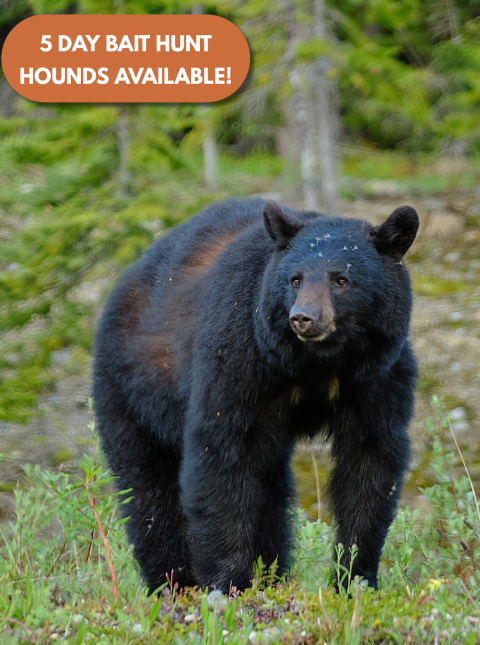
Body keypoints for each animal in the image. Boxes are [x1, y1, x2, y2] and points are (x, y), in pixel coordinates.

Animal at [93, 197, 419, 594]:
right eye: (296, 279)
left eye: (341, 279)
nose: (303, 317)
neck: (319, 361)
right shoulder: (240, 353)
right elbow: (220, 455)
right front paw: (231, 581)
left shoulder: (376, 376)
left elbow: (370, 462)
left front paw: (355, 577)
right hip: (133, 390)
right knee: (148, 489)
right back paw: (173, 581)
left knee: (268, 489)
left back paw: (272, 573)